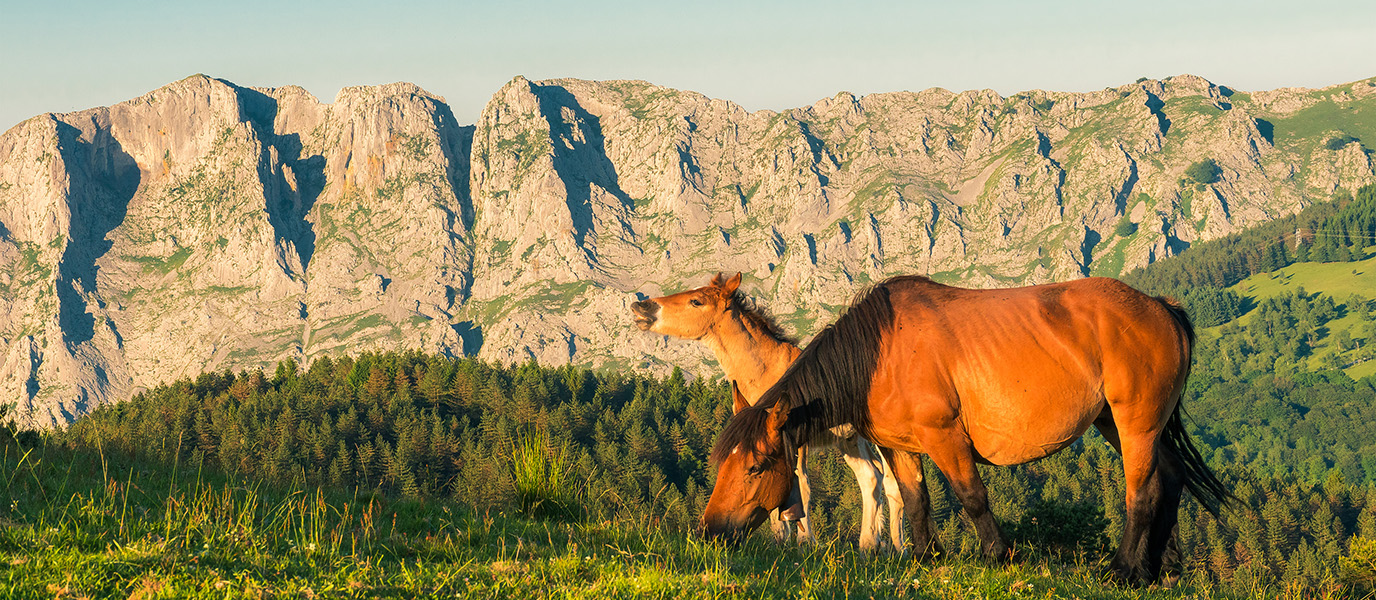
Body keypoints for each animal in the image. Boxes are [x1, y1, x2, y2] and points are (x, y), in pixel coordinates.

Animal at [630, 273, 908, 550]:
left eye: (696, 301)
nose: (640, 307)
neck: (767, 370)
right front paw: (780, 542)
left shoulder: (794, 436)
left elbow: (802, 486)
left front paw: (806, 543)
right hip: (850, 441)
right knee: (872, 477)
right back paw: (870, 545)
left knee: (891, 482)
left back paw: (897, 548)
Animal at [704, 276, 1232, 586]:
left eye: (755, 467)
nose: (711, 532)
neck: (880, 352)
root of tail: (1163, 307)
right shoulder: (901, 447)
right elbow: (915, 500)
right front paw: (924, 557)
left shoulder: (945, 438)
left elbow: (972, 497)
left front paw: (999, 556)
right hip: (1125, 423)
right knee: (1170, 481)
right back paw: (1157, 570)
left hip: (1135, 423)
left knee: (1141, 493)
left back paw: (1123, 571)